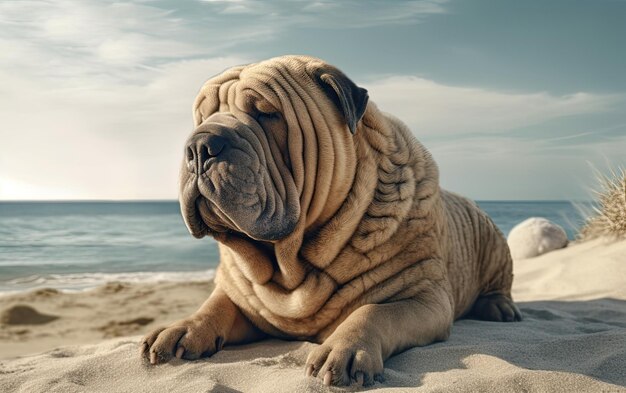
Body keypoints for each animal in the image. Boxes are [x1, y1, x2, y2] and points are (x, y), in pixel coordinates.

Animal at [141, 54, 520, 386]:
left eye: (267, 114)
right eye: (201, 118)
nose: (199, 146)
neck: (290, 264)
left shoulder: (424, 298)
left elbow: (373, 311)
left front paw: (345, 350)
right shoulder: (242, 294)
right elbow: (215, 305)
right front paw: (182, 329)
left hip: (494, 245)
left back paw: (499, 307)